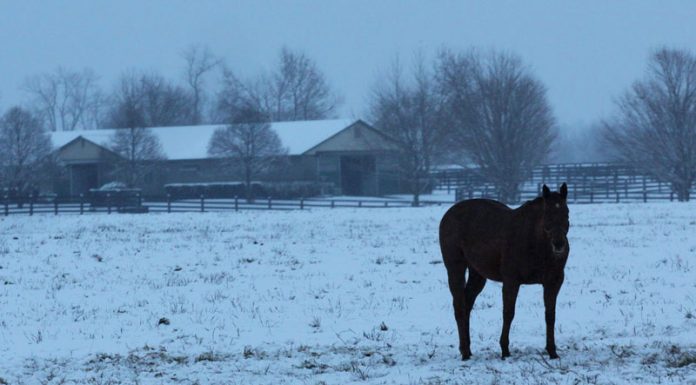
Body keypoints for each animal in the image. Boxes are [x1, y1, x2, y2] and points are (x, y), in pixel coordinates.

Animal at [440, 183, 572, 360]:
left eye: (566, 212)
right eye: (547, 214)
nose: (558, 244)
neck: (535, 243)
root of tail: (448, 214)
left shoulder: (553, 282)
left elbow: (550, 315)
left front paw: (552, 351)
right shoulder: (511, 281)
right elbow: (508, 313)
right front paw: (505, 350)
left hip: (477, 273)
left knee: (467, 304)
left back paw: (466, 348)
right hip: (456, 268)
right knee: (459, 306)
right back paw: (465, 352)